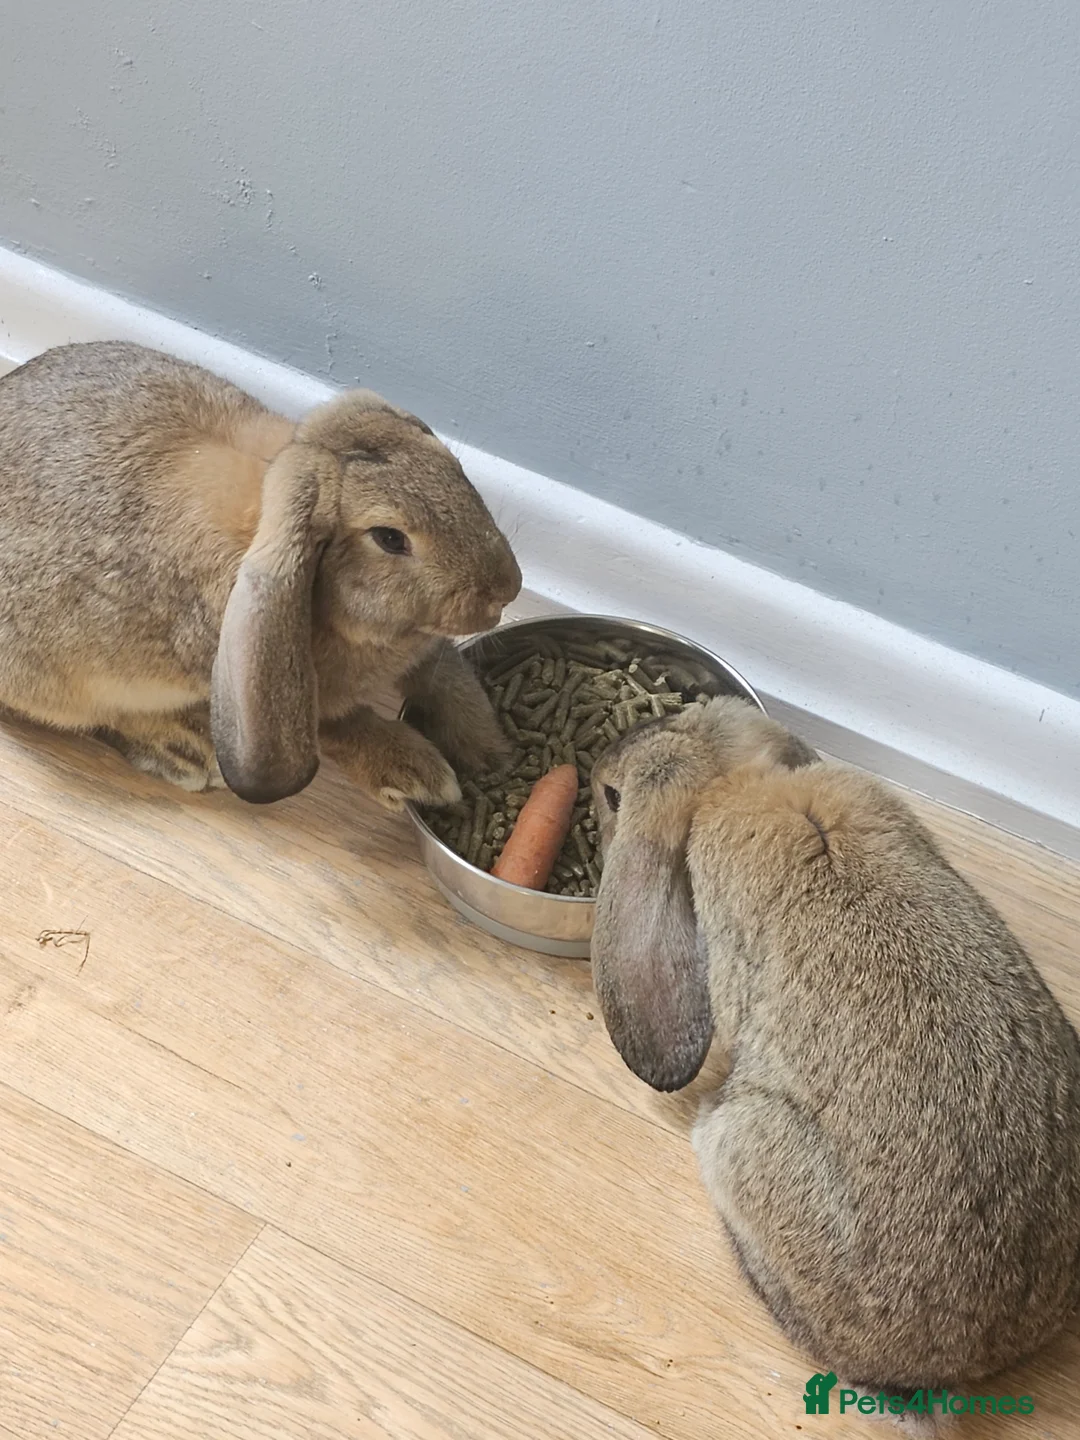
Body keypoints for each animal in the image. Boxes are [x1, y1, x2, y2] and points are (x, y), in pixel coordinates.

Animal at [0, 341, 521, 807]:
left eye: (454, 467)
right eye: (390, 538)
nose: (507, 588)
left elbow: (450, 685)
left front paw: (492, 751)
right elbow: (342, 728)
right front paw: (420, 776)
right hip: (63, 684)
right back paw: (185, 751)